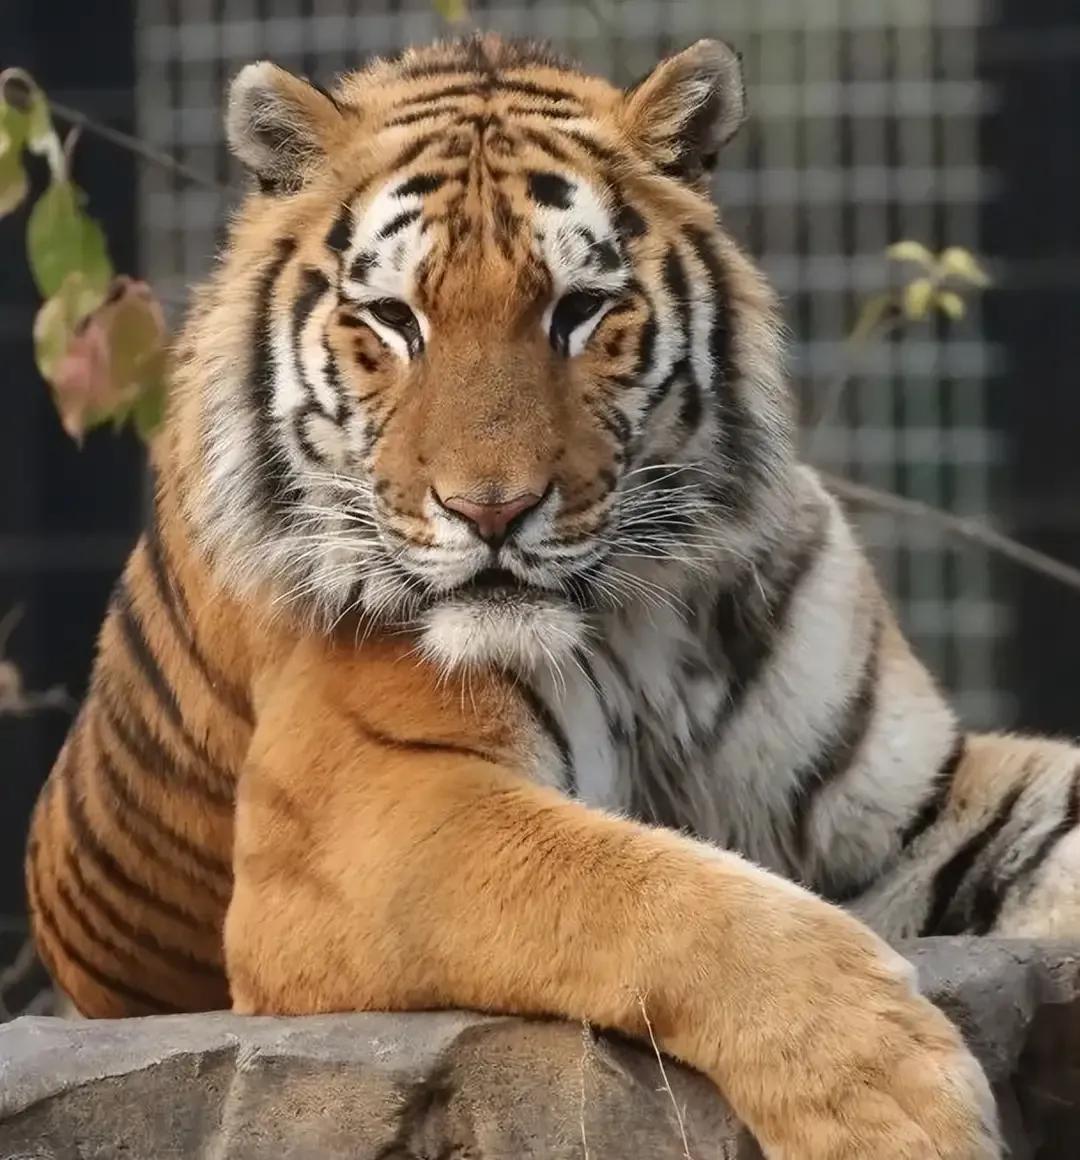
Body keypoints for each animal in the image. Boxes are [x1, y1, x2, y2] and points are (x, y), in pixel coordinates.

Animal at [26, 30, 1080, 1158]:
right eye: (393, 319)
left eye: (579, 310)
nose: (491, 510)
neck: (645, 617)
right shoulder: (373, 814)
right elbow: (653, 890)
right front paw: (896, 1106)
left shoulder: (906, 806)